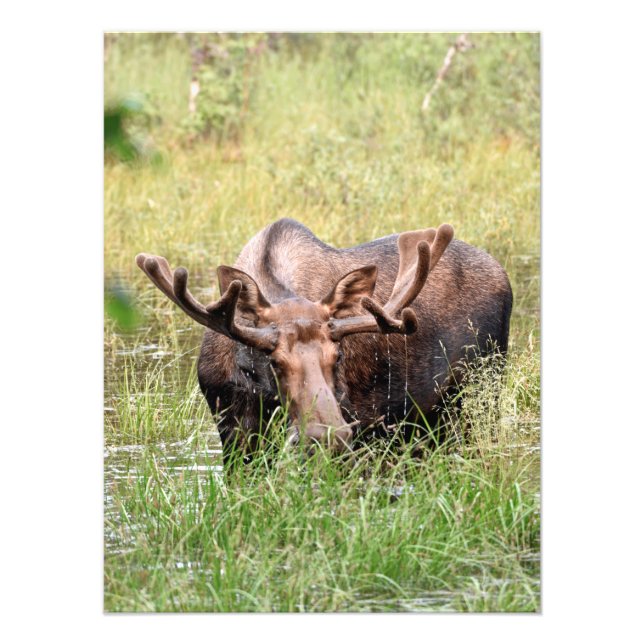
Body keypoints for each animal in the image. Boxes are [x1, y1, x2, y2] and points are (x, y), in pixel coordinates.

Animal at [136, 218, 512, 464]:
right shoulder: (232, 427)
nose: (327, 436)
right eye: (273, 361)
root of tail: (503, 273)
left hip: (481, 387)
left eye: (338, 357)